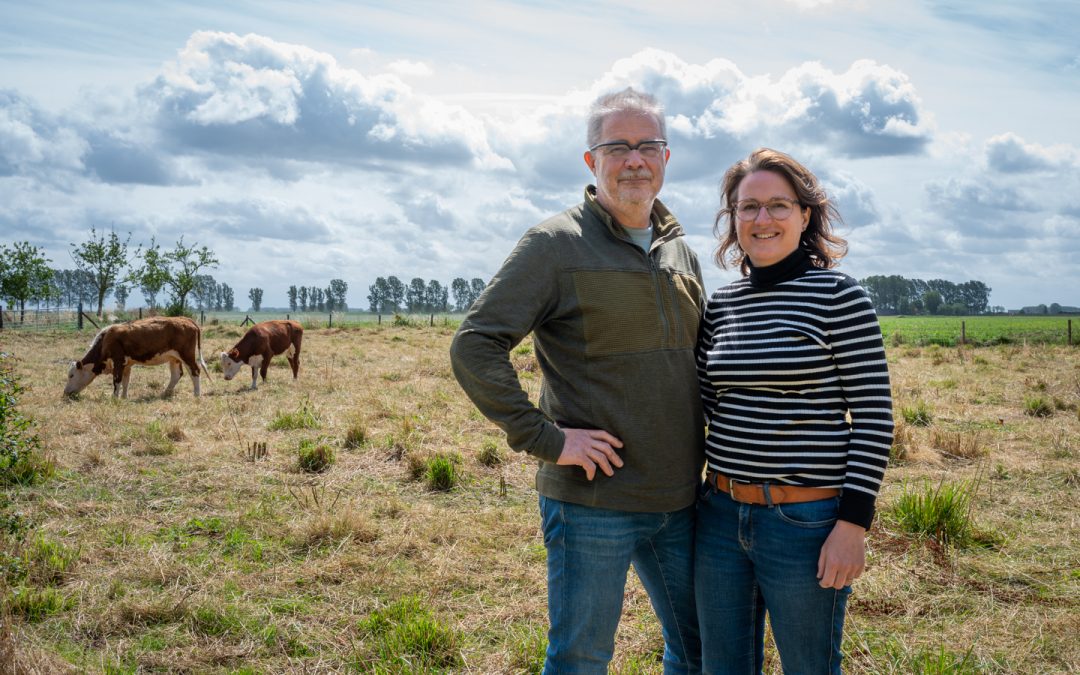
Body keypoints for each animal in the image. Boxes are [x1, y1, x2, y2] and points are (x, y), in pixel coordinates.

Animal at [64, 317, 209, 399]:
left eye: (71, 375)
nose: (65, 392)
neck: (105, 340)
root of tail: (186, 320)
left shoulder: (118, 360)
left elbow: (117, 380)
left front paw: (114, 398)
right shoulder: (126, 365)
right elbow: (125, 381)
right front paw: (124, 397)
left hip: (186, 355)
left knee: (195, 371)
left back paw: (197, 395)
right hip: (174, 358)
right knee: (176, 374)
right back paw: (165, 393)